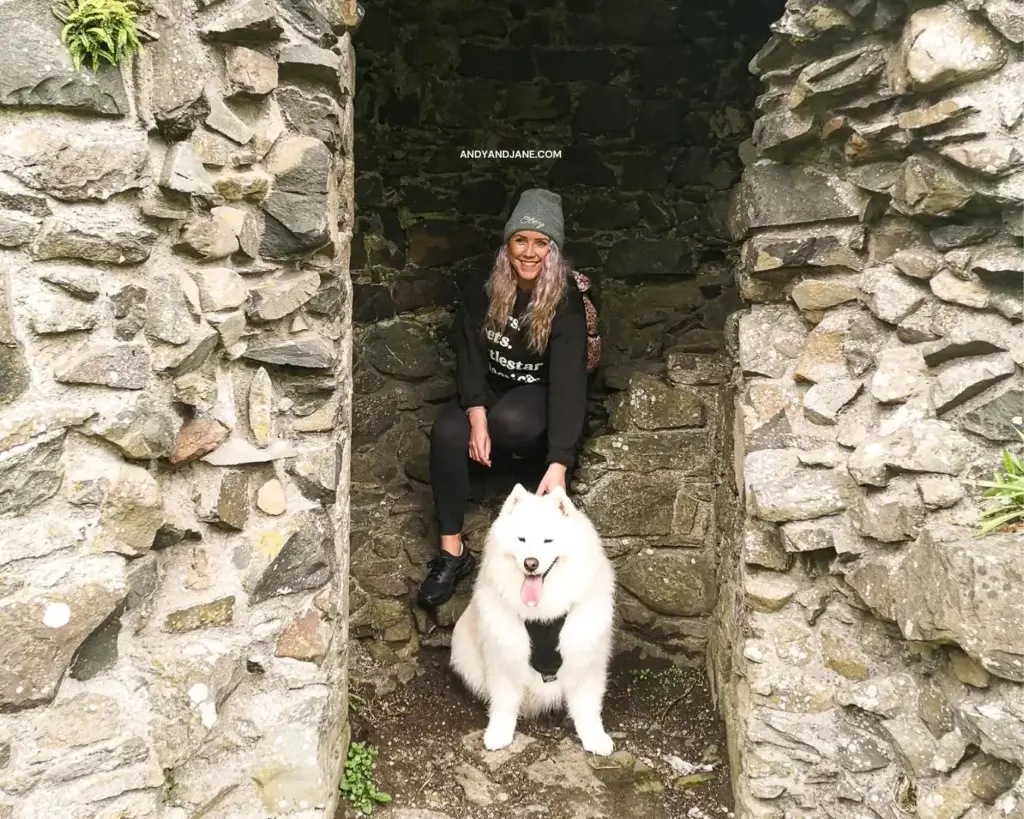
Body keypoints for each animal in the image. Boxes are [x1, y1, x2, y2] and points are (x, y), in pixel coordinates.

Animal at [450, 483, 614, 757]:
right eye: (521, 539)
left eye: (548, 540)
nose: (531, 563)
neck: (543, 614)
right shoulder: (504, 654)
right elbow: (503, 703)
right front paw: (498, 734)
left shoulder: (585, 656)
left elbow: (587, 706)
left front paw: (594, 738)